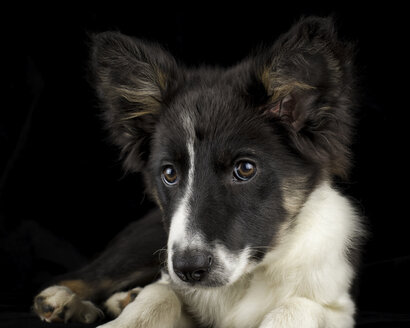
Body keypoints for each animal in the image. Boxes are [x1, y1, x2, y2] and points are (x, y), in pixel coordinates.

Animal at [33, 16, 364, 328]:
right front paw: (127, 320)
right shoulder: (174, 280)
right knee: (89, 274)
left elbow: (296, 307)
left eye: (245, 168)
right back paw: (63, 298)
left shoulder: (337, 306)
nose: (189, 269)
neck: (247, 277)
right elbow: (160, 294)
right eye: (169, 173)